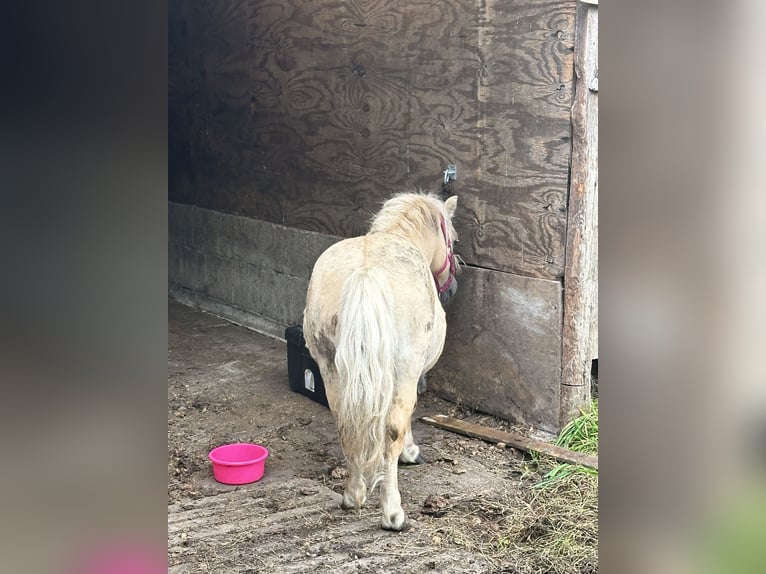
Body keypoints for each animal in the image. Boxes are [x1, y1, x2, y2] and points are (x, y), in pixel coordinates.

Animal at [303, 192, 459, 531]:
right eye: (452, 241)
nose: (452, 288)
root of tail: (366, 274)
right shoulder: (412, 374)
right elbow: (407, 420)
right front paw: (411, 453)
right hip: (402, 371)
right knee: (391, 431)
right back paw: (393, 514)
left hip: (331, 370)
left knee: (346, 425)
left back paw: (353, 495)